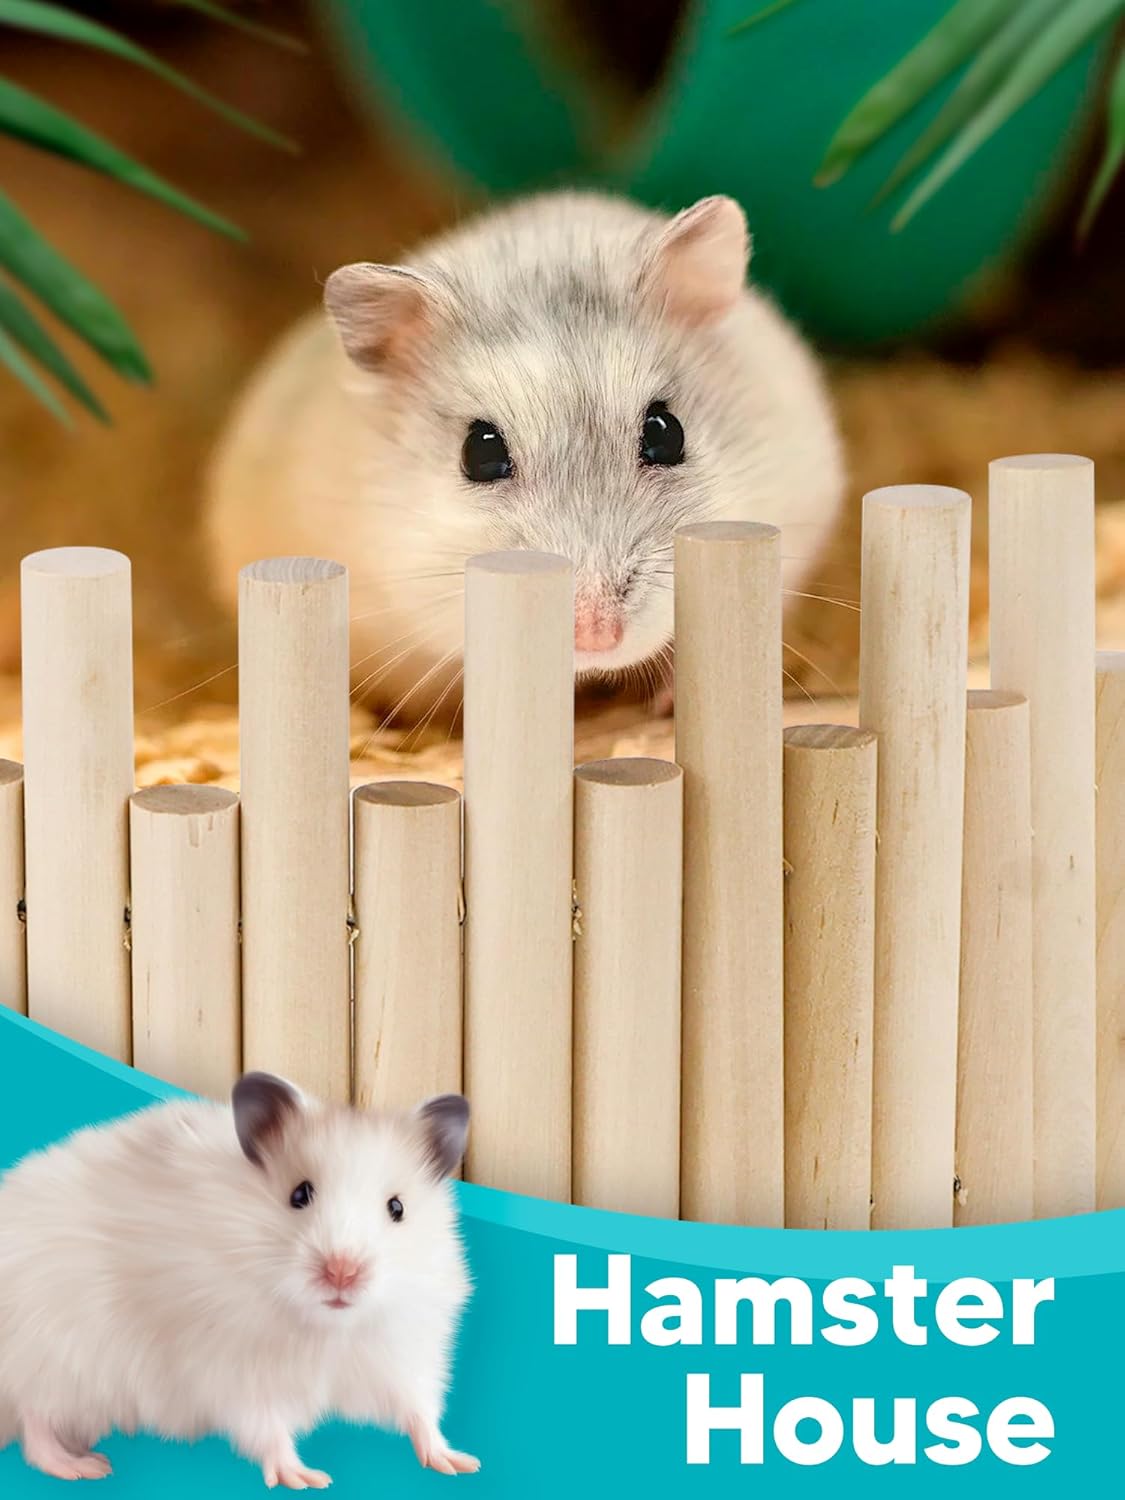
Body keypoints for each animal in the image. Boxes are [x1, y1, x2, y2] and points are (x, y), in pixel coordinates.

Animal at [0, 1073, 477, 1487]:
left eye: (397, 1207)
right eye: (299, 1194)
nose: (342, 1272)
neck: (327, 1328)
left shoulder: (402, 1355)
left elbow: (419, 1410)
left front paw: (458, 1463)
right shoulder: (236, 1372)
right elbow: (267, 1428)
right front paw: (306, 1479)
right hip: (56, 1359)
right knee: (34, 1424)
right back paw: (85, 1467)